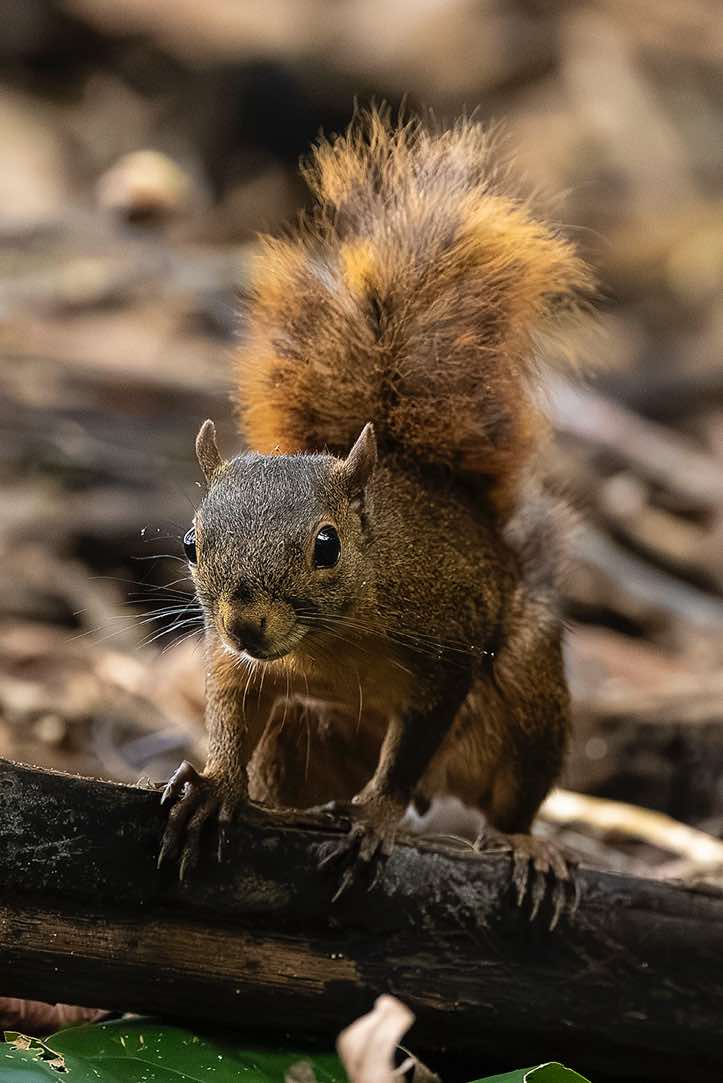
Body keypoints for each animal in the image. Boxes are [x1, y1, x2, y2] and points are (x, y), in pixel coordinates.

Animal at [159, 110, 593, 925]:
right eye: (192, 544)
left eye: (326, 546)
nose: (246, 623)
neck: (331, 635)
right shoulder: (240, 666)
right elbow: (229, 708)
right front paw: (215, 785)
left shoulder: (449, 644)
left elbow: (412, 746)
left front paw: (376, 817)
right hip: (305, 734)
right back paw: (294, 806)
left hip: (525, 694)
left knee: (508, 798)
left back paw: (523, 845)